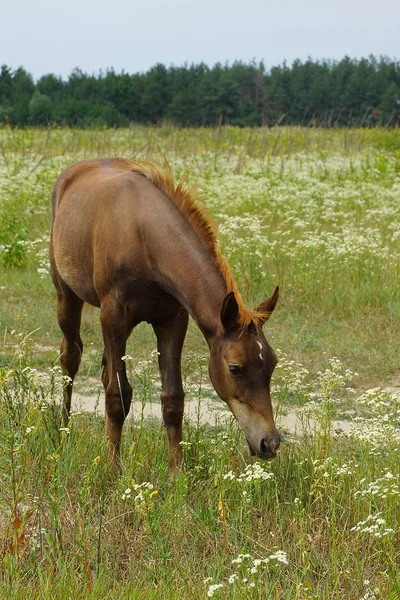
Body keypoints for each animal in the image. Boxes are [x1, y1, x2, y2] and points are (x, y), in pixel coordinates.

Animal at [50, 158, 280, 474]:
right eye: (235, 368)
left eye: (272, 364)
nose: (270, 443)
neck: (144, 236)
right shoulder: (113, 317)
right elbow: (117, 396)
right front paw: (111, 470)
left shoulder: (172, 321)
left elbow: (172, 399)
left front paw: (177, 474)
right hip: (67, 297)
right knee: (70, 359)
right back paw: (63, 433)